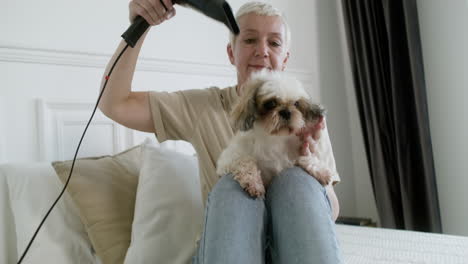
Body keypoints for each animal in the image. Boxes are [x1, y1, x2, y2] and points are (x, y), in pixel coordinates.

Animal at [217, 70, 332, 198]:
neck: (275, 138)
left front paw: (320, 170)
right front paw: (254, 183)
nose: (286, 112)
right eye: (271, 103)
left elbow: (306, 157)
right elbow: (246, 162)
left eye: (296, 104)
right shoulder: (229, 159)